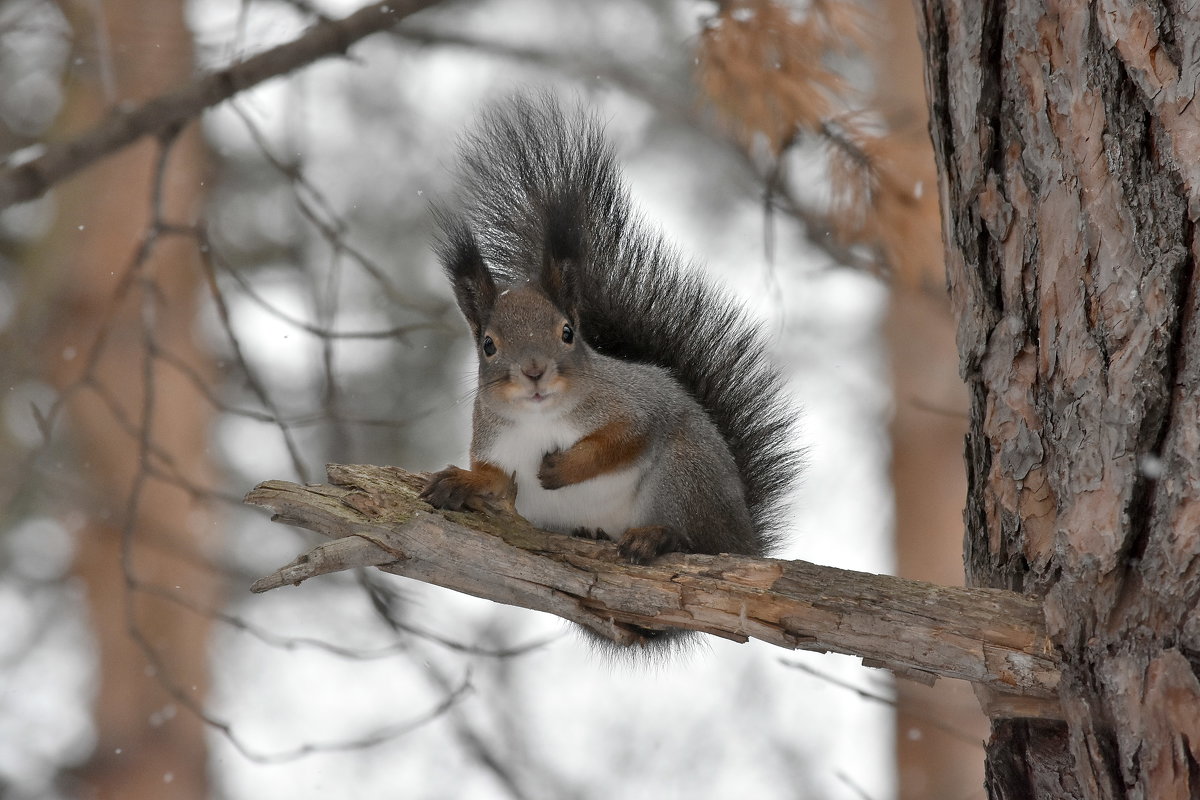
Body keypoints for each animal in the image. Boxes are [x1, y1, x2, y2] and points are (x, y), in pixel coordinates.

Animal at [420, 94, 796, 614]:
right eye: (488, 345)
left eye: (567, 332)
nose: (534, 372)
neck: (540, 419)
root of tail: (747, 541)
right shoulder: (495, 445)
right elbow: (497, 483)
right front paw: (462, 482)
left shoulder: (634, 405)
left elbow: (623, 440)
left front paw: (563, 467)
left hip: (686, 471)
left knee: (698, 542)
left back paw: (658, 536)